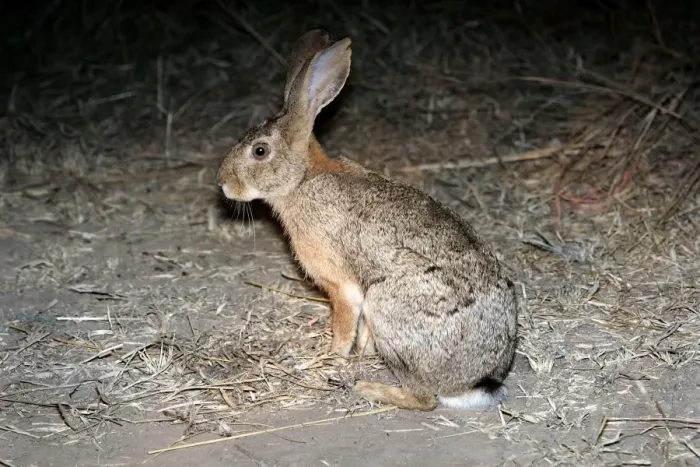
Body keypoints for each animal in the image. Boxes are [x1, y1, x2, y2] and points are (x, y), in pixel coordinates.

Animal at [216, 29, 518, 411]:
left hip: (387, 307)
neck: (301, 179)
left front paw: (333, 356)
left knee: (425, 399)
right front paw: (361, 352)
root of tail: (477, 381)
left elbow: (344, 323)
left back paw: (370, 389)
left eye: (259, 151)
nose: (222, 183)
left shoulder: (341, 285)